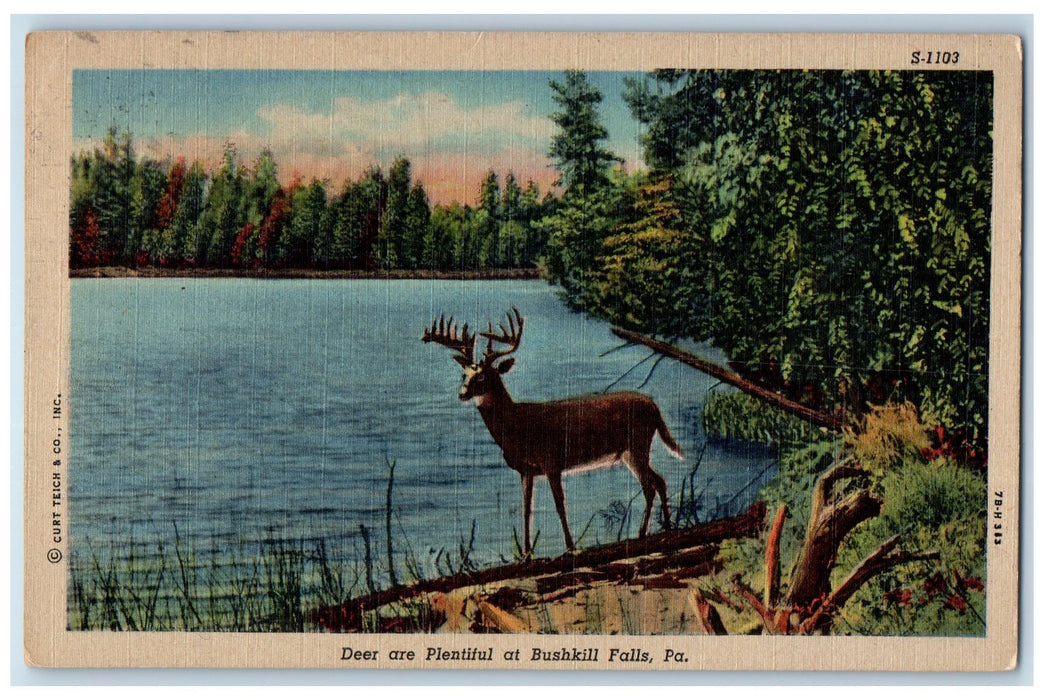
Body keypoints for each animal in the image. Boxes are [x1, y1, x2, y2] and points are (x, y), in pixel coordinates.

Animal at [422, 308, 683, 557]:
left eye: (483, 376)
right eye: (464, 374)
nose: (462, 393)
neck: (518, 427)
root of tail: (654, 406)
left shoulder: (551, 461)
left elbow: (560, 505)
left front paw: (570, 546)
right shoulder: (526, 470)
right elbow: (526, 508)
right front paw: (526, 552)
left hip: (638, 443)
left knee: (649, 486)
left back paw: (642, 532)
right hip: (630, 452)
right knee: (660, 481)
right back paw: (668, 527)